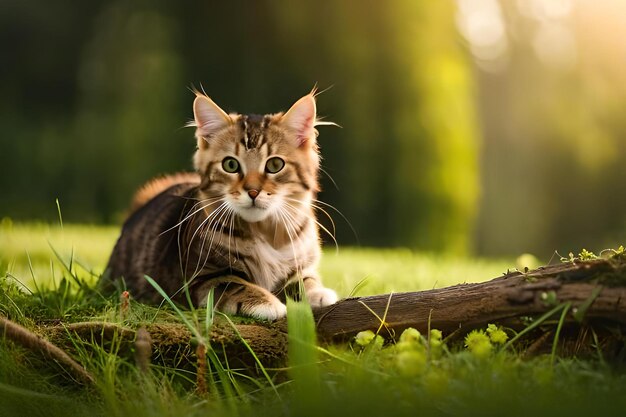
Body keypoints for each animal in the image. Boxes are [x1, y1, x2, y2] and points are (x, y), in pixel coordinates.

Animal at [101, 90, 336, 318]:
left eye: (275, 164)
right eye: (230, 165)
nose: (252, 191)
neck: (265, 231)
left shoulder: (301, 265)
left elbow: (305, 280)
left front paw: (318, 293)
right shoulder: (201, 278)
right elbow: (238, 285)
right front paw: (268, 303)